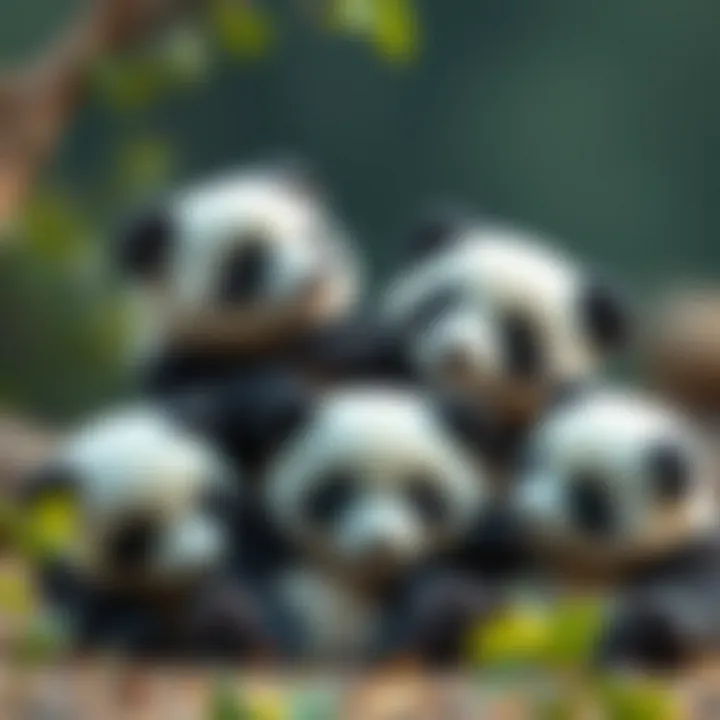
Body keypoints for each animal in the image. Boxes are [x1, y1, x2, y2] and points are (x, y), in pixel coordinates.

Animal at [512, 387, 720, 669]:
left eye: (587, 497)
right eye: (533, 462)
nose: (527, 513)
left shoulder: (692, 558)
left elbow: (681, 610)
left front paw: (616, 643)